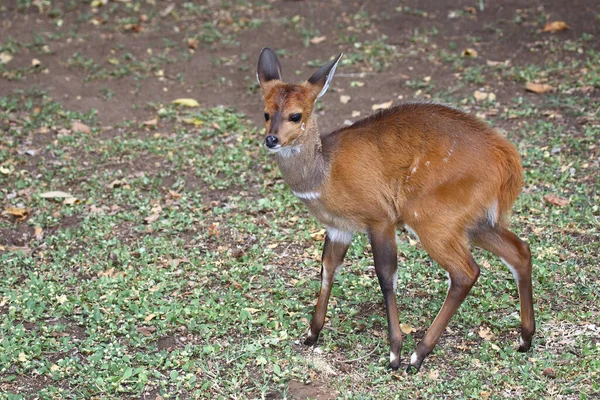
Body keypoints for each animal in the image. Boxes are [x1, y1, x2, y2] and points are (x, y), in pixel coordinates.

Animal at [255, 49, 536, 372]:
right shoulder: (339, 228)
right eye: (266, 113)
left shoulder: (380, 219)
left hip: (429, 218)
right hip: (476, 222)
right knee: (519, 251)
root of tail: (507, 159)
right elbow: (327, 269)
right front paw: (312, 334)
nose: (271, 139)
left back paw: (419, 354)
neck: (324, 171)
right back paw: (525, 339)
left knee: (466, 271)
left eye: (295, 115)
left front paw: (394, 353)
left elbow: (386, 275)